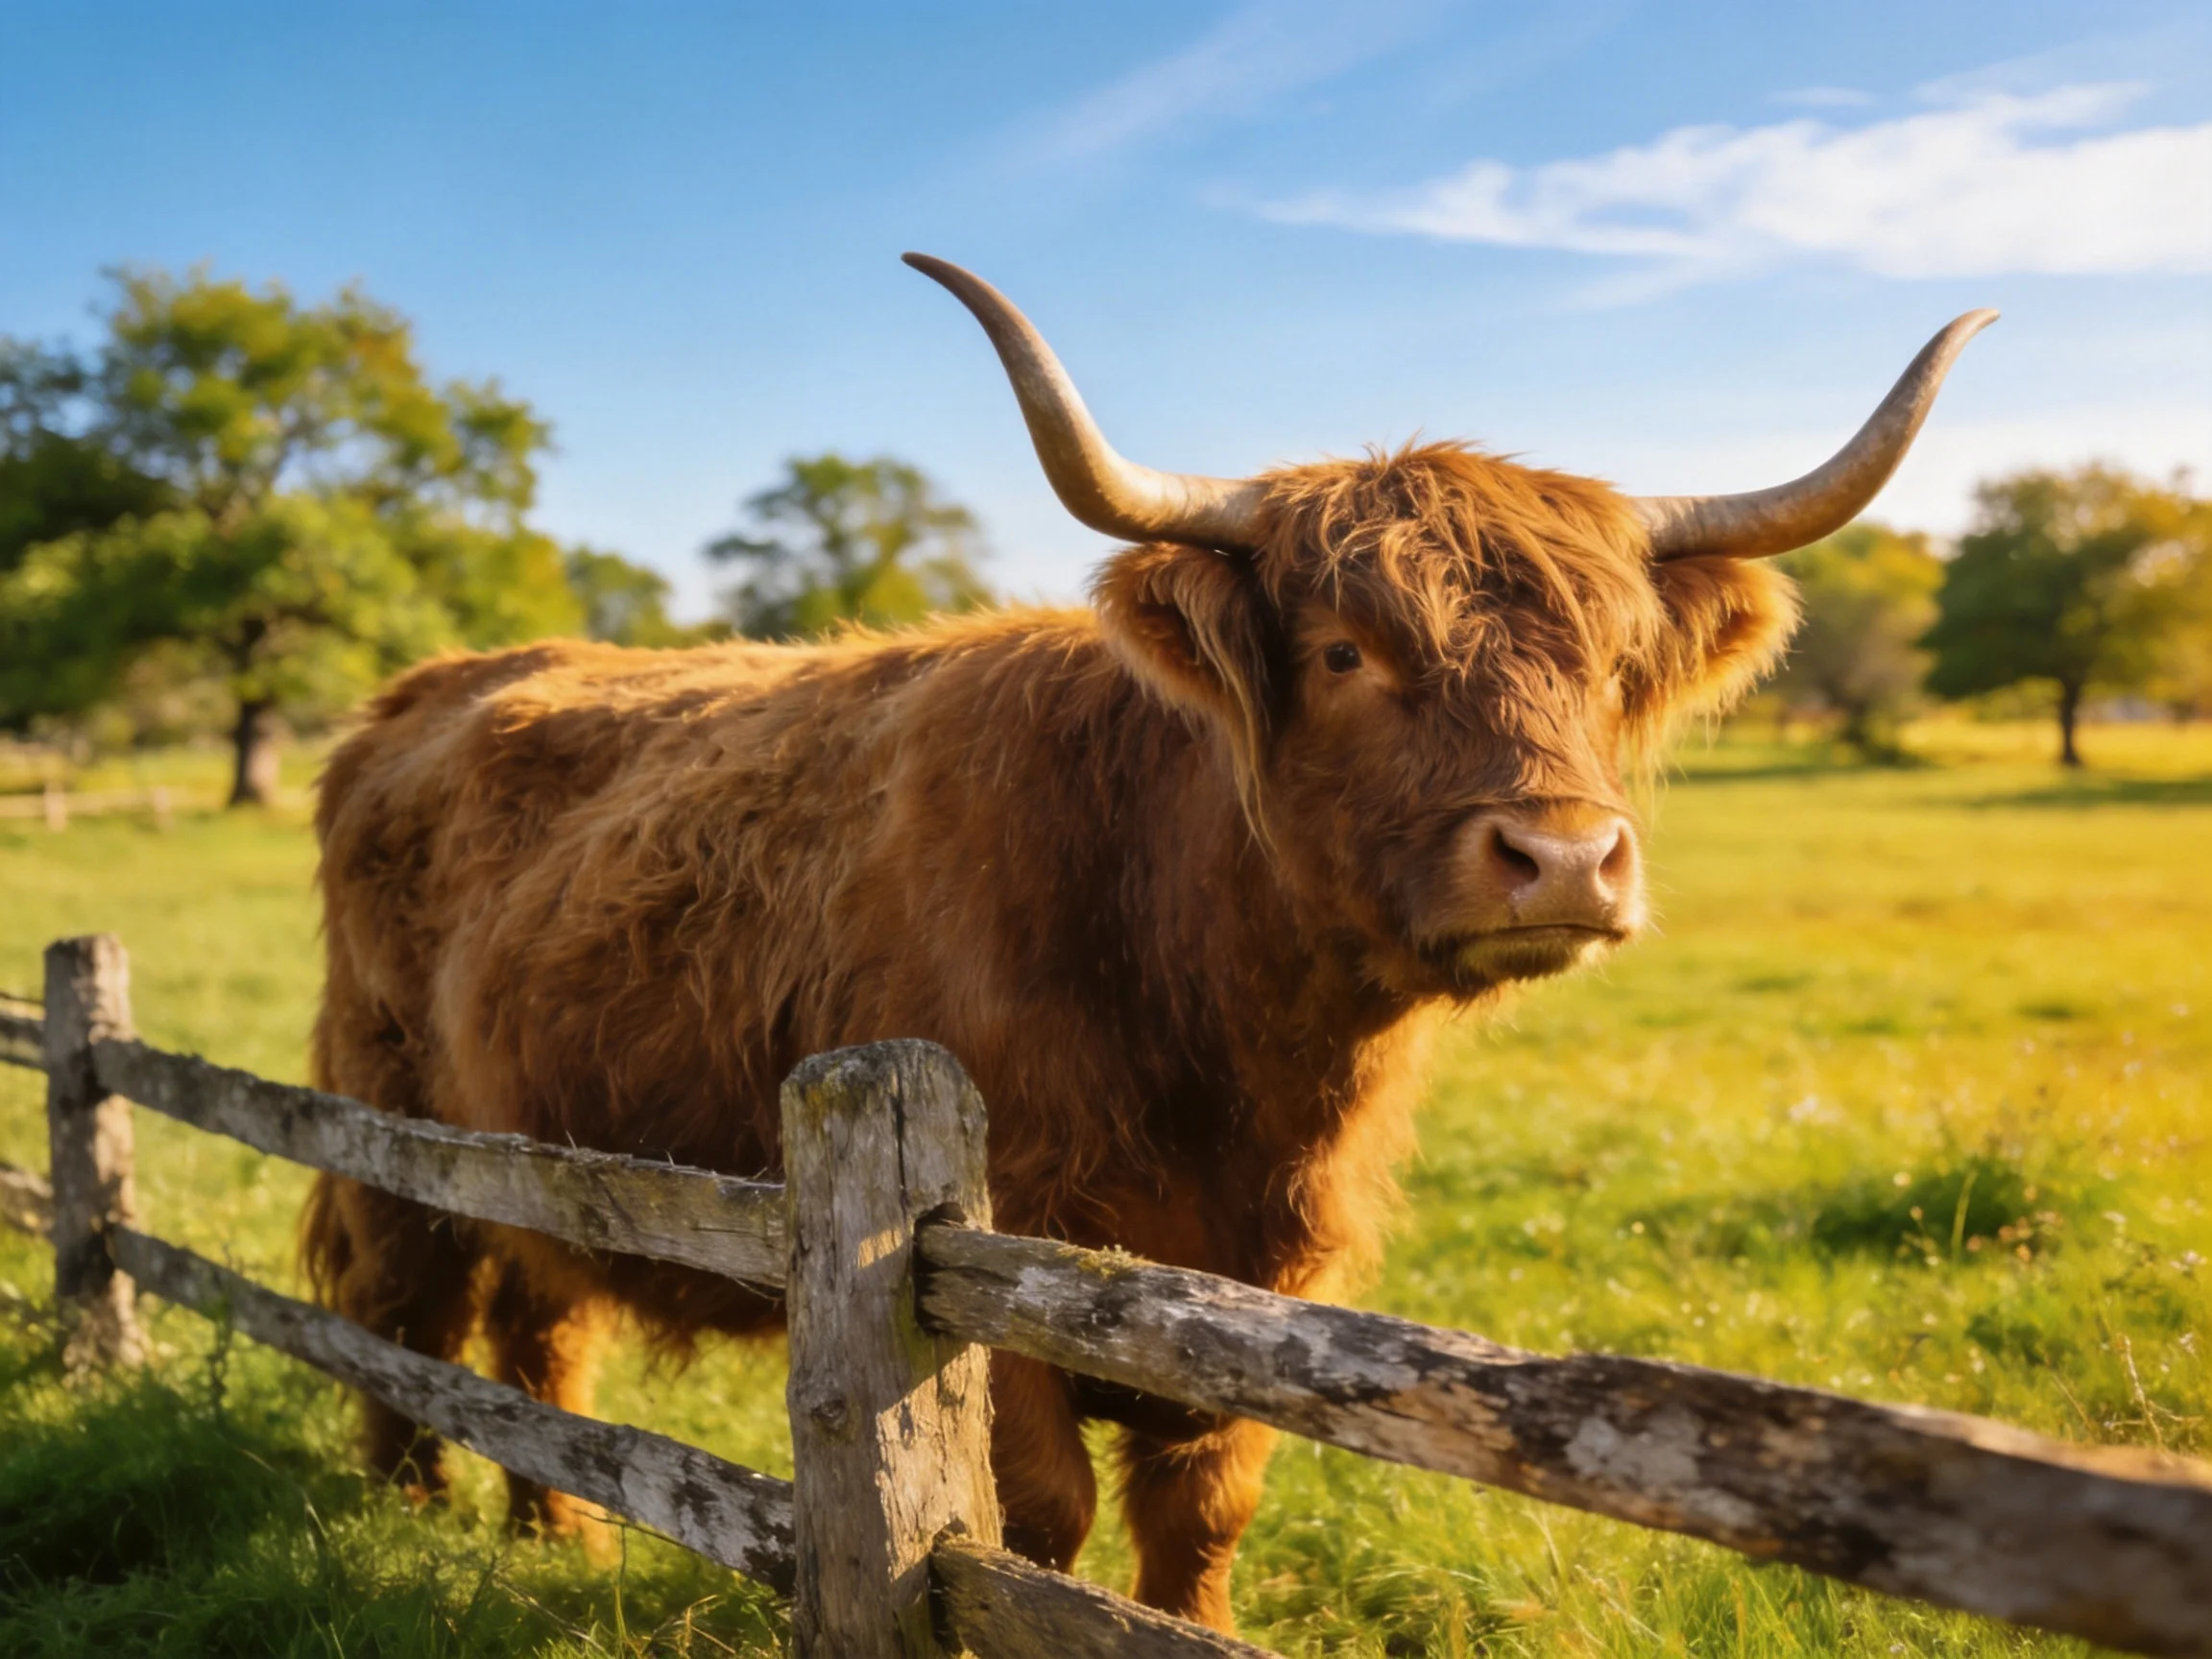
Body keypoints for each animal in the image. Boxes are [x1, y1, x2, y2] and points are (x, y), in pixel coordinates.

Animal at [302, 254, 1991, 1632]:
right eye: (1344, 652)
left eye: (1611, 661)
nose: (1565, 859)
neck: (1225, 1038)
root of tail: (427, 688)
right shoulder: (990, 1258)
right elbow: (1037, 1518)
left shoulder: (1268, 1268)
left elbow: (1204, 1508)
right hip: (394, 1112)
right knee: (403, 1306)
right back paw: (406, 1521)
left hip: (538, 1143)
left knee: (534, 1325)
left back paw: (559, 1540)